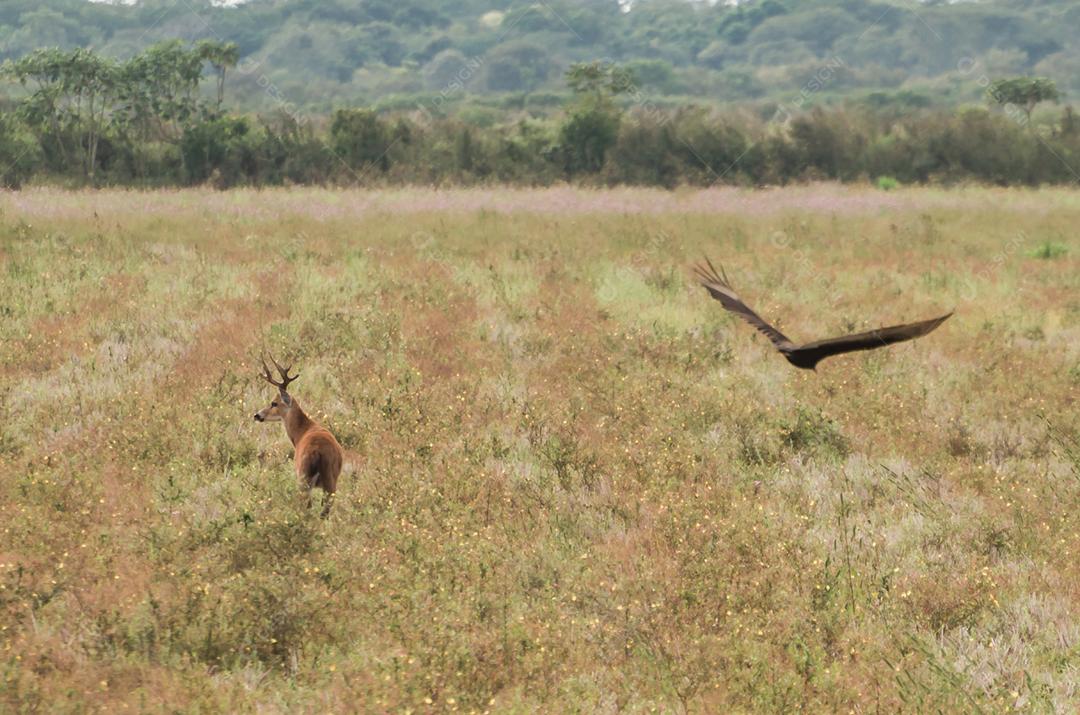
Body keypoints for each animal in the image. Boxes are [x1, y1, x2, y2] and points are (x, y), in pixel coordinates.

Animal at [253, 354, 343, 518]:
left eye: (274, 403)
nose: (257, 415)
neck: (302, 432)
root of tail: (318, 452)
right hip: (330, 479)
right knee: (325, 509)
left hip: (303, 477)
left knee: (306, 506)